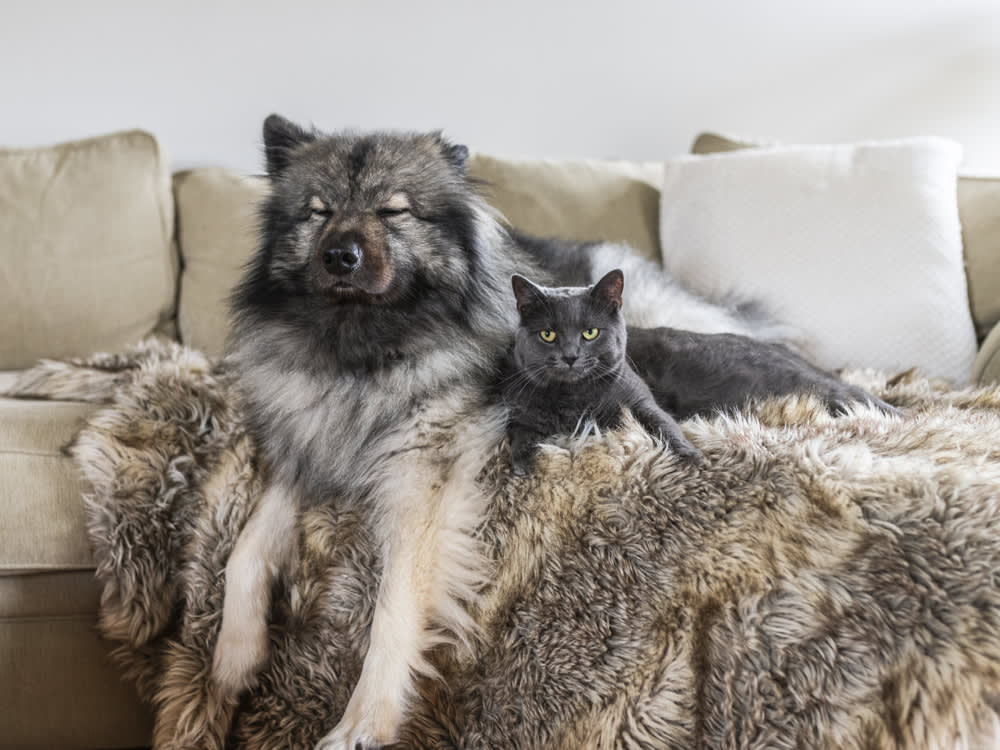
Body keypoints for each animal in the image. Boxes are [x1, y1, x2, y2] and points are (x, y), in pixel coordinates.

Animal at [500, 270, 704, 476]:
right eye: (547, 334)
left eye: (590, 332)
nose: (570, 356)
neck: (574, 398)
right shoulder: (522, 412)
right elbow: (522, 435)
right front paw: (529, 463)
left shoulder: (639, 400)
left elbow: (663, 422)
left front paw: (688, 458)